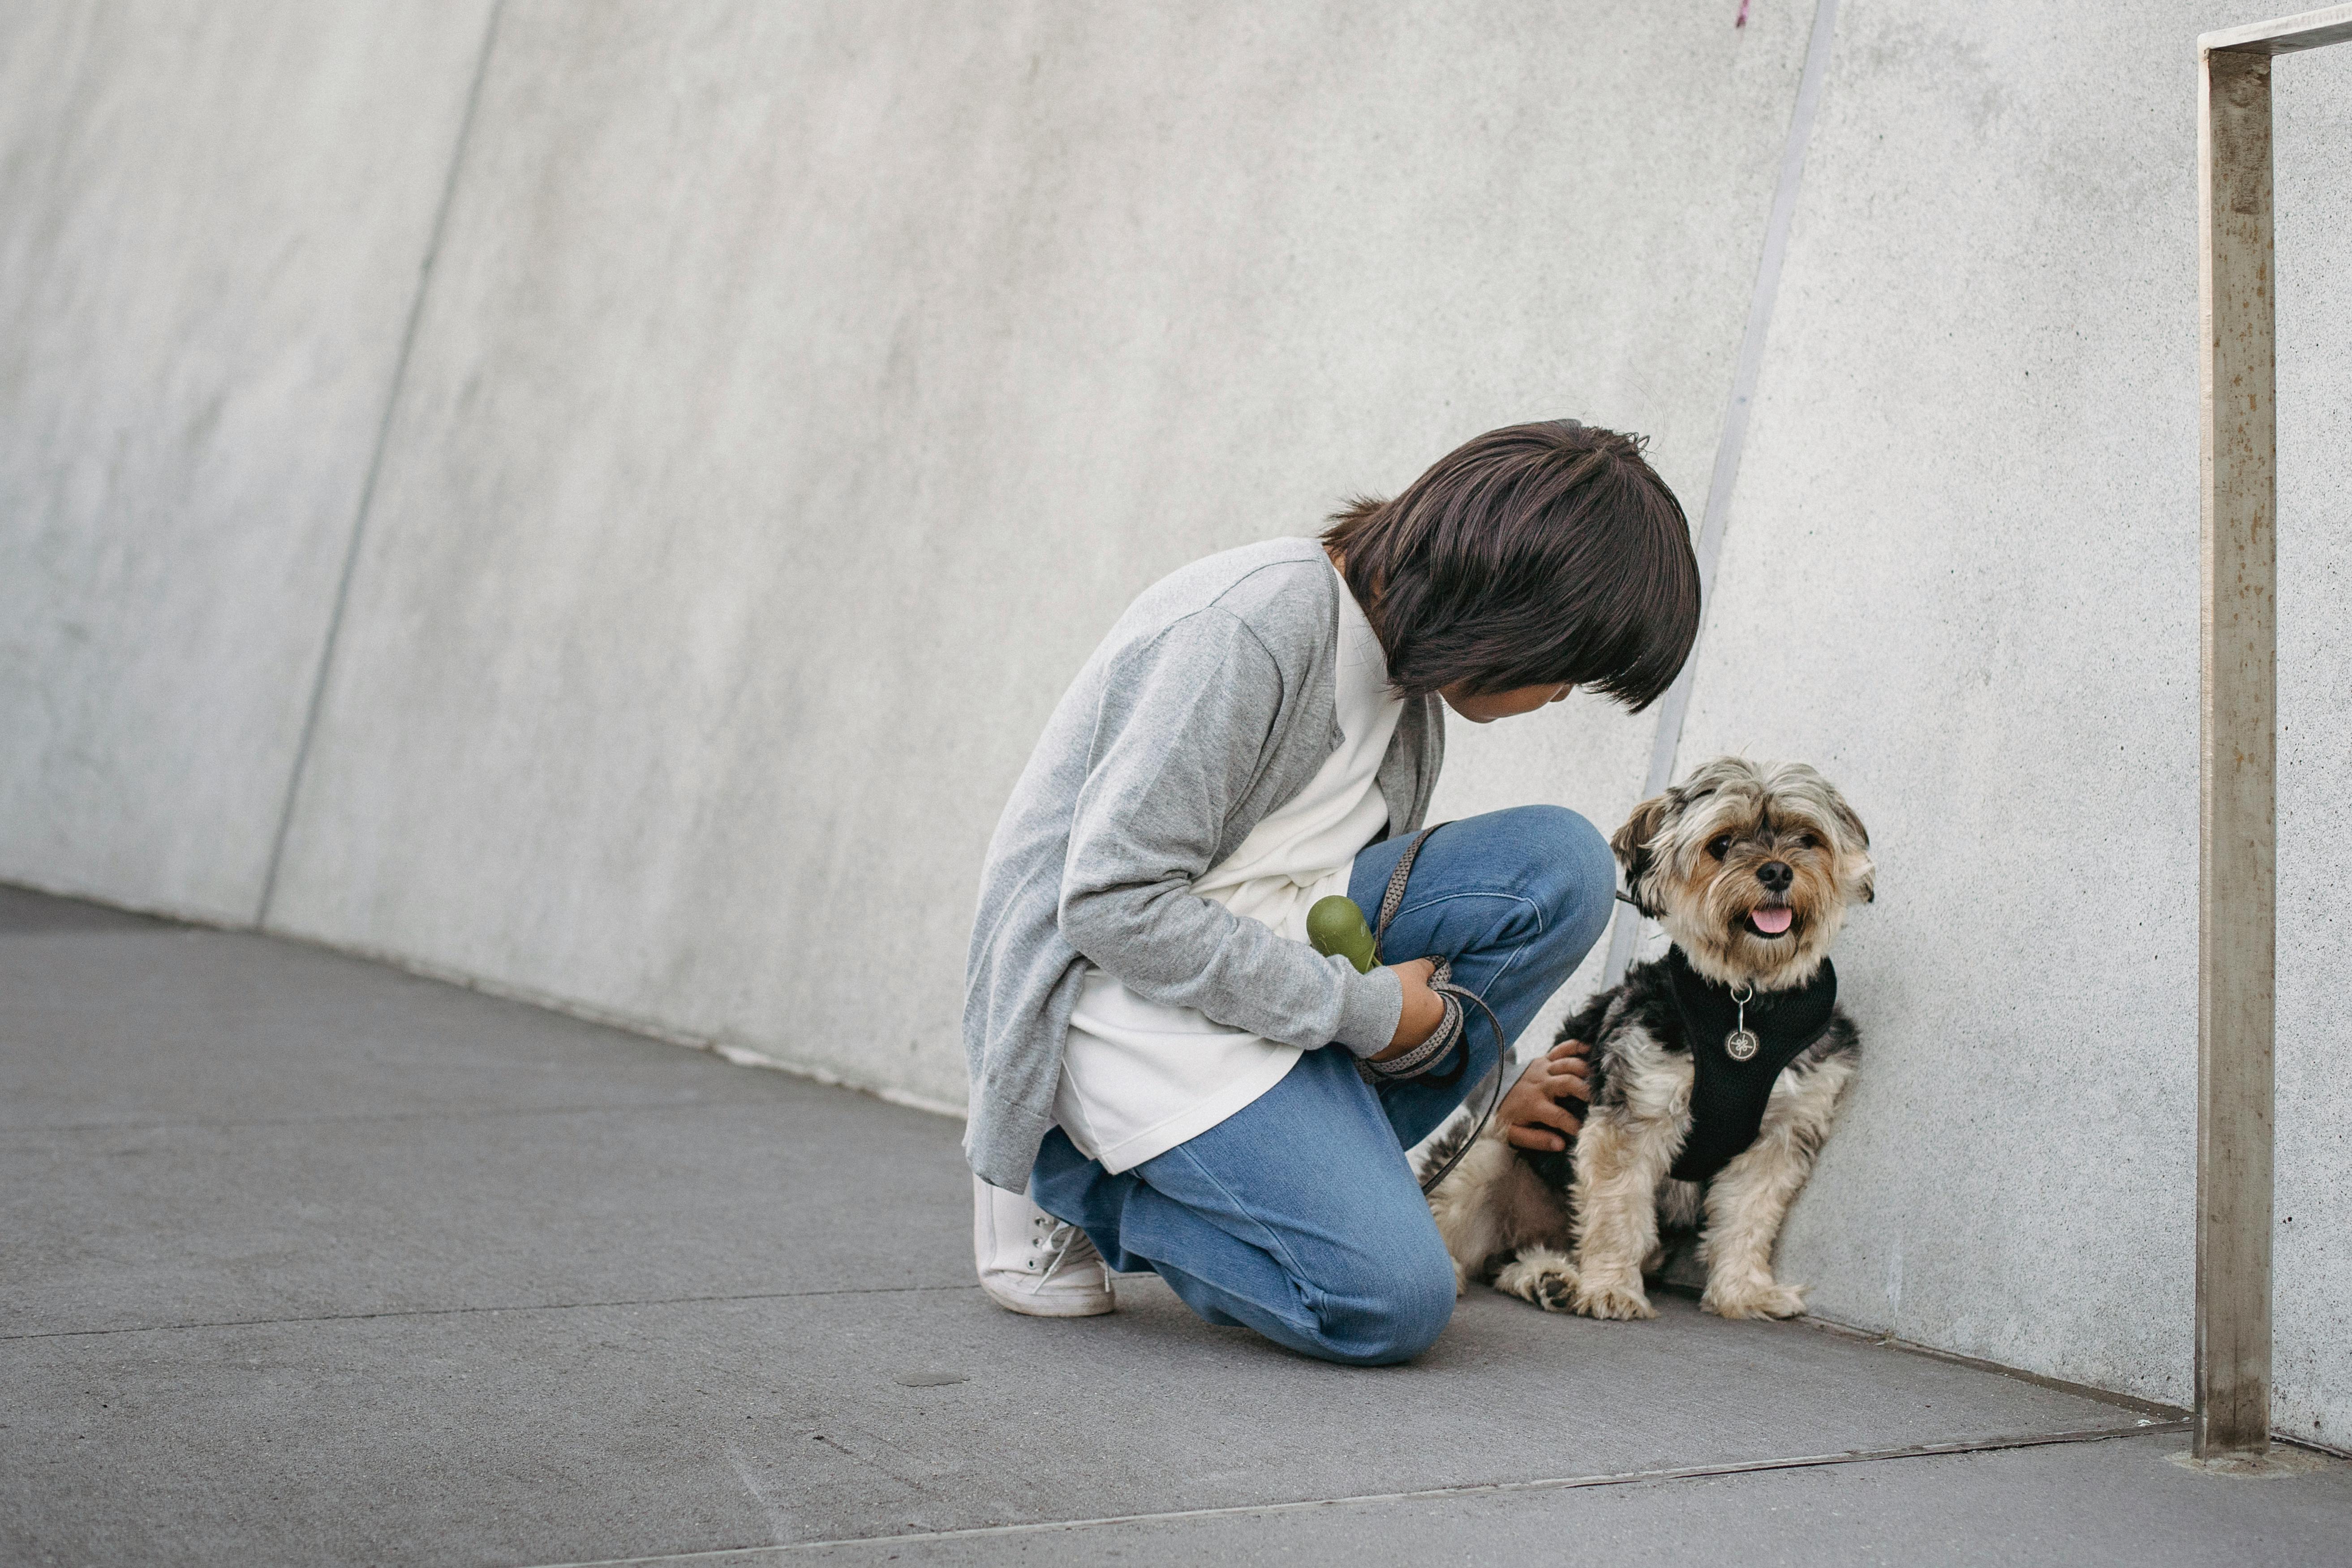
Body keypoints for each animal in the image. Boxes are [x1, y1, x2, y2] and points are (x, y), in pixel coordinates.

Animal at [1411, 752, 1872, 1316]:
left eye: (1807, 839)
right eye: (1721, 845)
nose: (1777, 871)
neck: (1746, 1002)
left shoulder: (1781, 1136)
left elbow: (1749, 1217)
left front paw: (1744, 1291)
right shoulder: (1636, 1113)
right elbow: (1618, 1211)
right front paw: (1610, 1287)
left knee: (1522, 1259)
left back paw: (1548, 1277)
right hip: (1488, 1150)